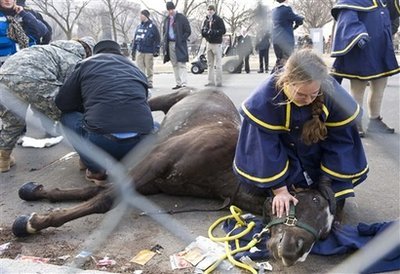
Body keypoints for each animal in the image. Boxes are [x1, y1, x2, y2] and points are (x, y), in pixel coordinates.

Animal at [10, 89, 336, 266]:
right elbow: (103, 200)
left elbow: (94, 194)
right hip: (165, 100)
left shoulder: (150, 182)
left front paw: (36, 194)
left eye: (324, 234)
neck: (230, 170)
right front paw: (31, 223)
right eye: (312, 201)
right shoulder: (154, 163)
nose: (295, 251)